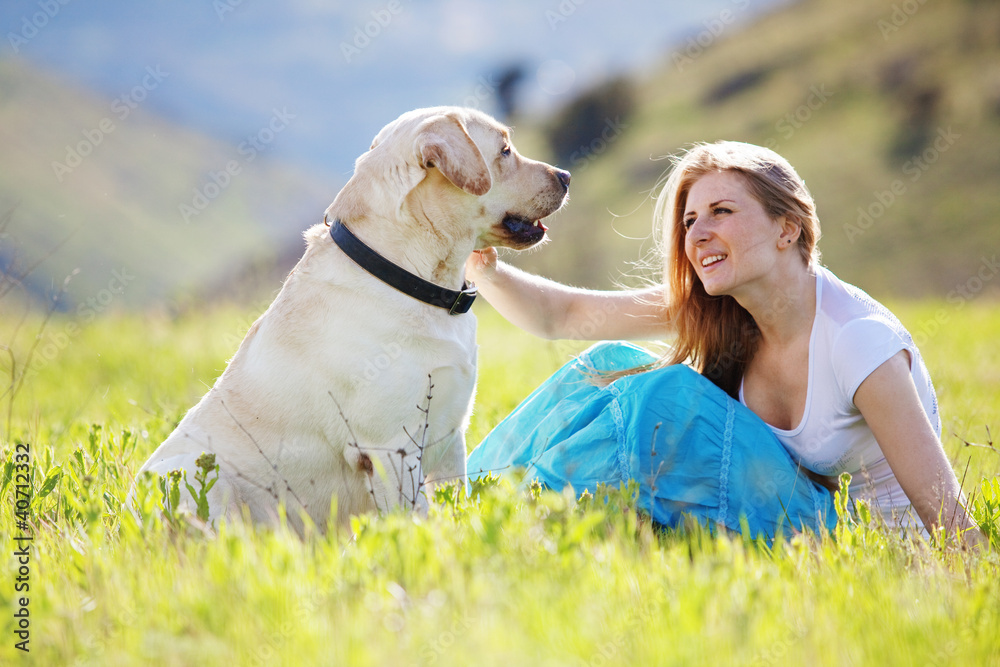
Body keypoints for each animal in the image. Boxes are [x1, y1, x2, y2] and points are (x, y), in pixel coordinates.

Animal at [137, 107, 572, 536]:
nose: (566, 176)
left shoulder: (452, 439)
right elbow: (417, 520)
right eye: (504, 151)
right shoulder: (392, 448)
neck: (411, 277)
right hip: (191, 474)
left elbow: (454, 505)